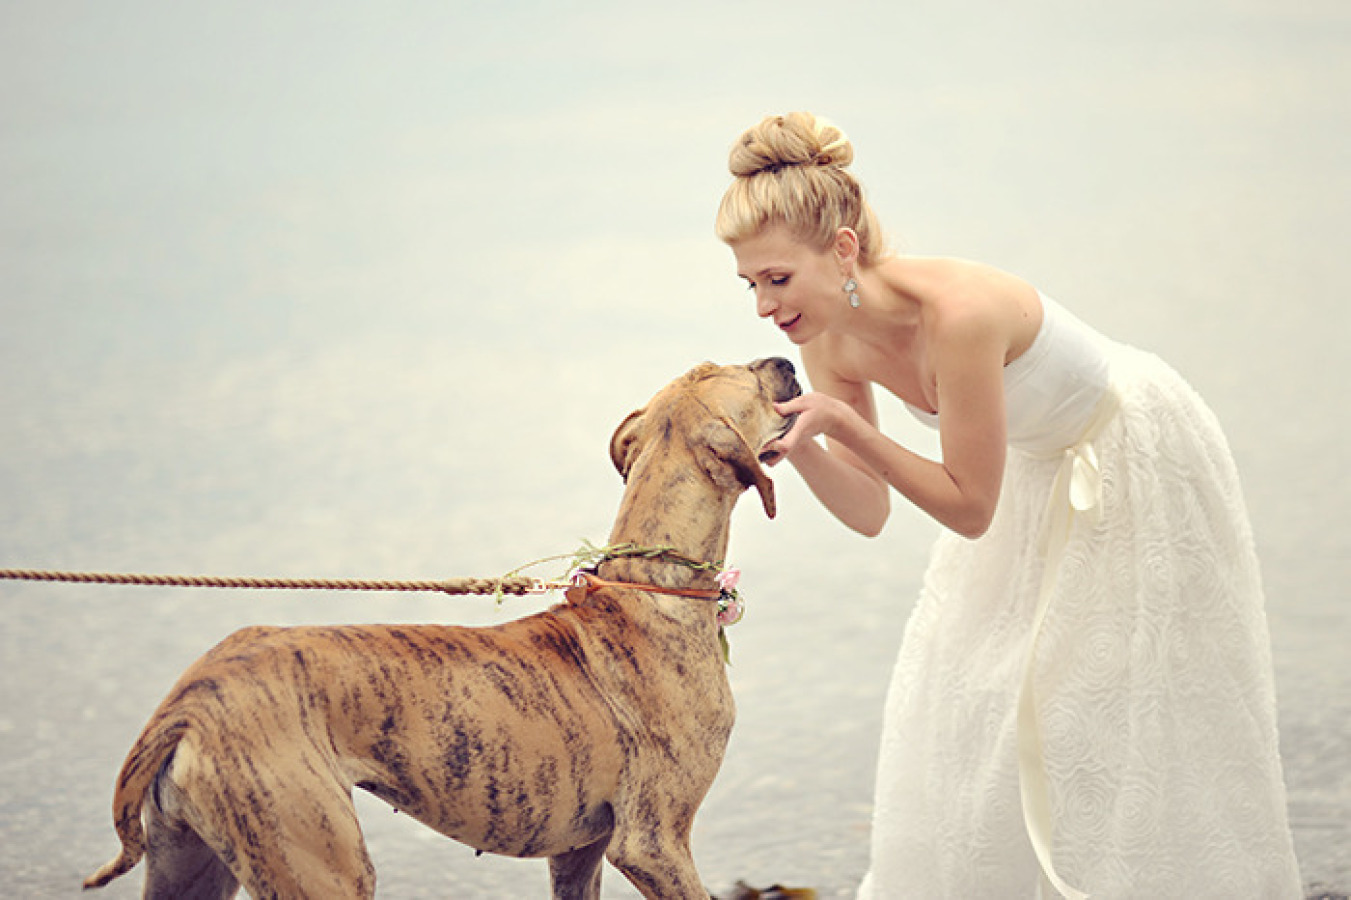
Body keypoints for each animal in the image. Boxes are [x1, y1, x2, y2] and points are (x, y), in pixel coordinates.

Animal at [81, 356, 799, 897]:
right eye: (748, 378)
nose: (784, 360)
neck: (648, 587)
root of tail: (189, 701)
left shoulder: (580, 851)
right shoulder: (653, 842)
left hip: (190, 862)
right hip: (319, 860)